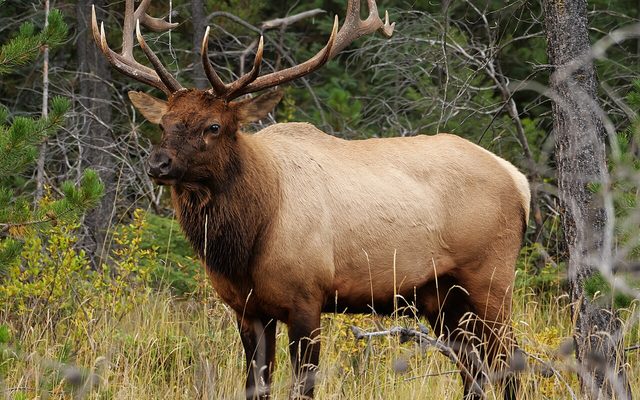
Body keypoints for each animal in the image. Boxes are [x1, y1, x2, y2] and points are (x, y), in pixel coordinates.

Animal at [91, 1, 530, 399]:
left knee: (509, 362)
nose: (158, 163)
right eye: (164, 123)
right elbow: (256, 386)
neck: (249, 238)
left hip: (491, 278)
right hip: (440, 297)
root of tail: (518, 179)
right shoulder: (247, 310)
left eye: (213, 126)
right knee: (474, 370)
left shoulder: (307, 298)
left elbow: (303, 386)